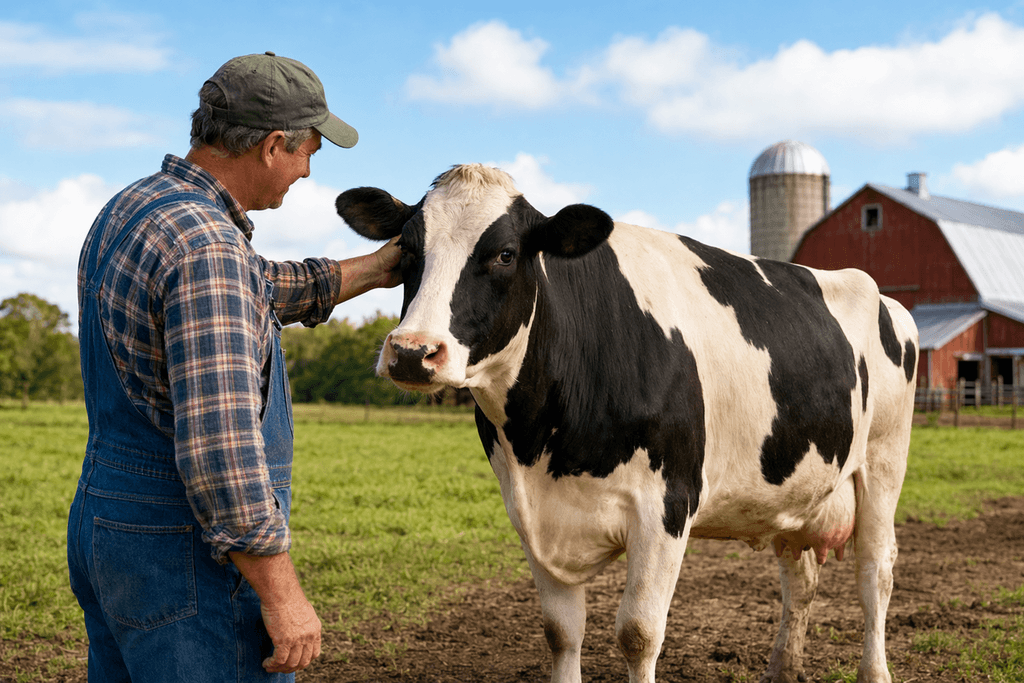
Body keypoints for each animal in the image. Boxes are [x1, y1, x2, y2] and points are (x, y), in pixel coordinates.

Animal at [336, 164, 918, 683]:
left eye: (504, 254)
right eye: (407, 251)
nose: (412, 352)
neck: (544, 443)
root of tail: (878, 291)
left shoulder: (667, 505)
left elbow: (638, 634)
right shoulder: (530, 514)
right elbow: (561, 632)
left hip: (884, 464)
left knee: (876, 572)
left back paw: (874, 672)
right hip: (795, 488)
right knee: (800, 576)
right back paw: (782, 669)